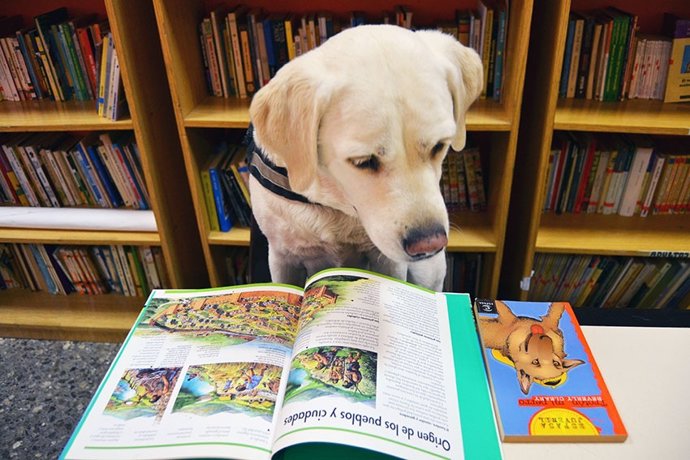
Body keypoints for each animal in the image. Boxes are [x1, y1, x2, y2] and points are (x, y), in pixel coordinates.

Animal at [246, 23, 478, 290]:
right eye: (363, 162)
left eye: (439, 146)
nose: (430, 243)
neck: (334, 203)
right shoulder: (282, 256)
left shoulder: (389, 262)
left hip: (428, 272)